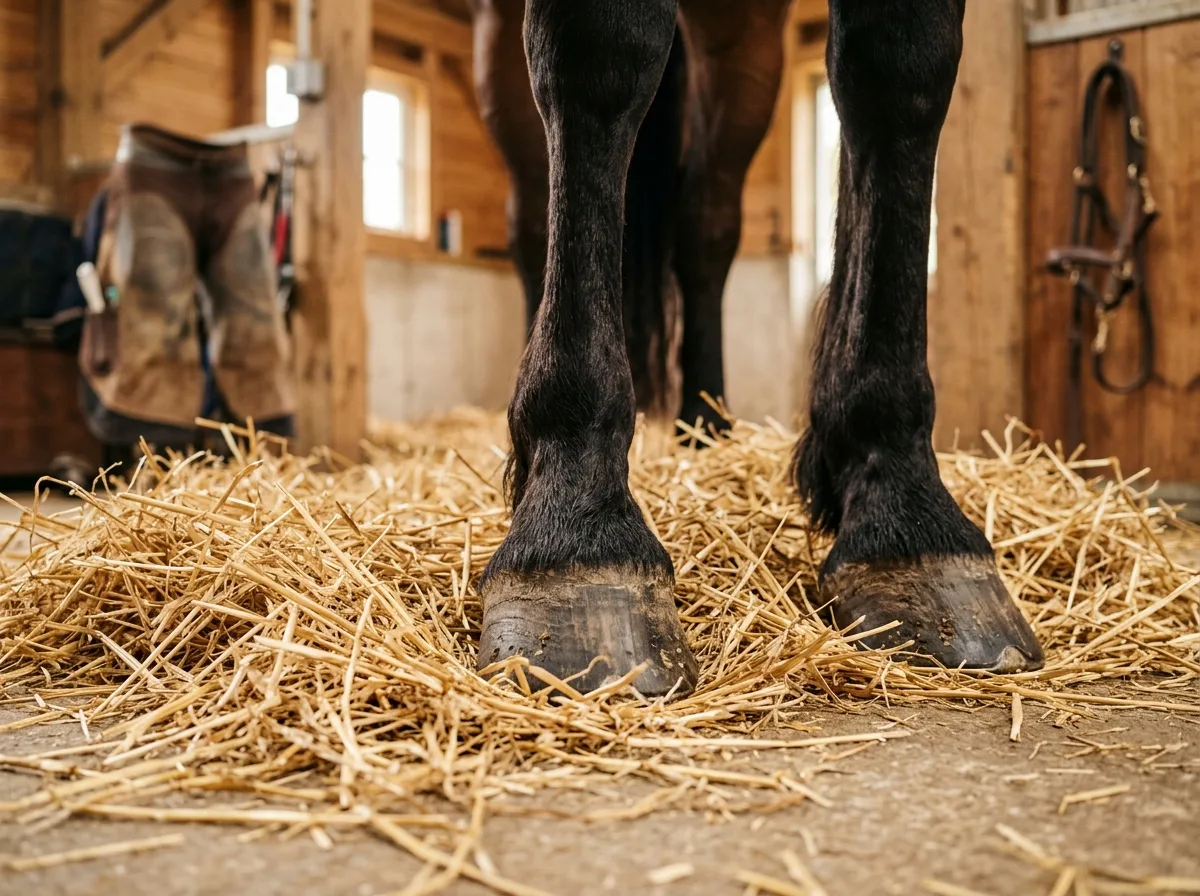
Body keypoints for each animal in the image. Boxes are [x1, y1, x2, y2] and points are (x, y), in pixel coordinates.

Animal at [467, 0, 1044, 697]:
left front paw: (905, 516)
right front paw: (575, 532)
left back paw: (706, 425)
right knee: (532, 216)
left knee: (705, 224)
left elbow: (901, 76)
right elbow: (601, 54)